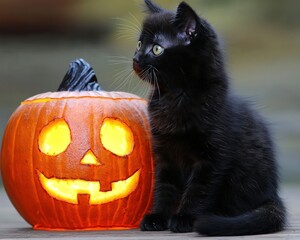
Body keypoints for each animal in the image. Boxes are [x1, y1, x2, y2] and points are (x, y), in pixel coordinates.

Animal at [133, 0, 286, 236]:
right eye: (139, 44)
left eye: (157, 49)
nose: (136, 58)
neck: (175, 97)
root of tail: (272, 195)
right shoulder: (164, 155)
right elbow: (164, 187)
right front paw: (158, 217)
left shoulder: (212, 159)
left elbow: (199, 191)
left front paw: (185, 219)